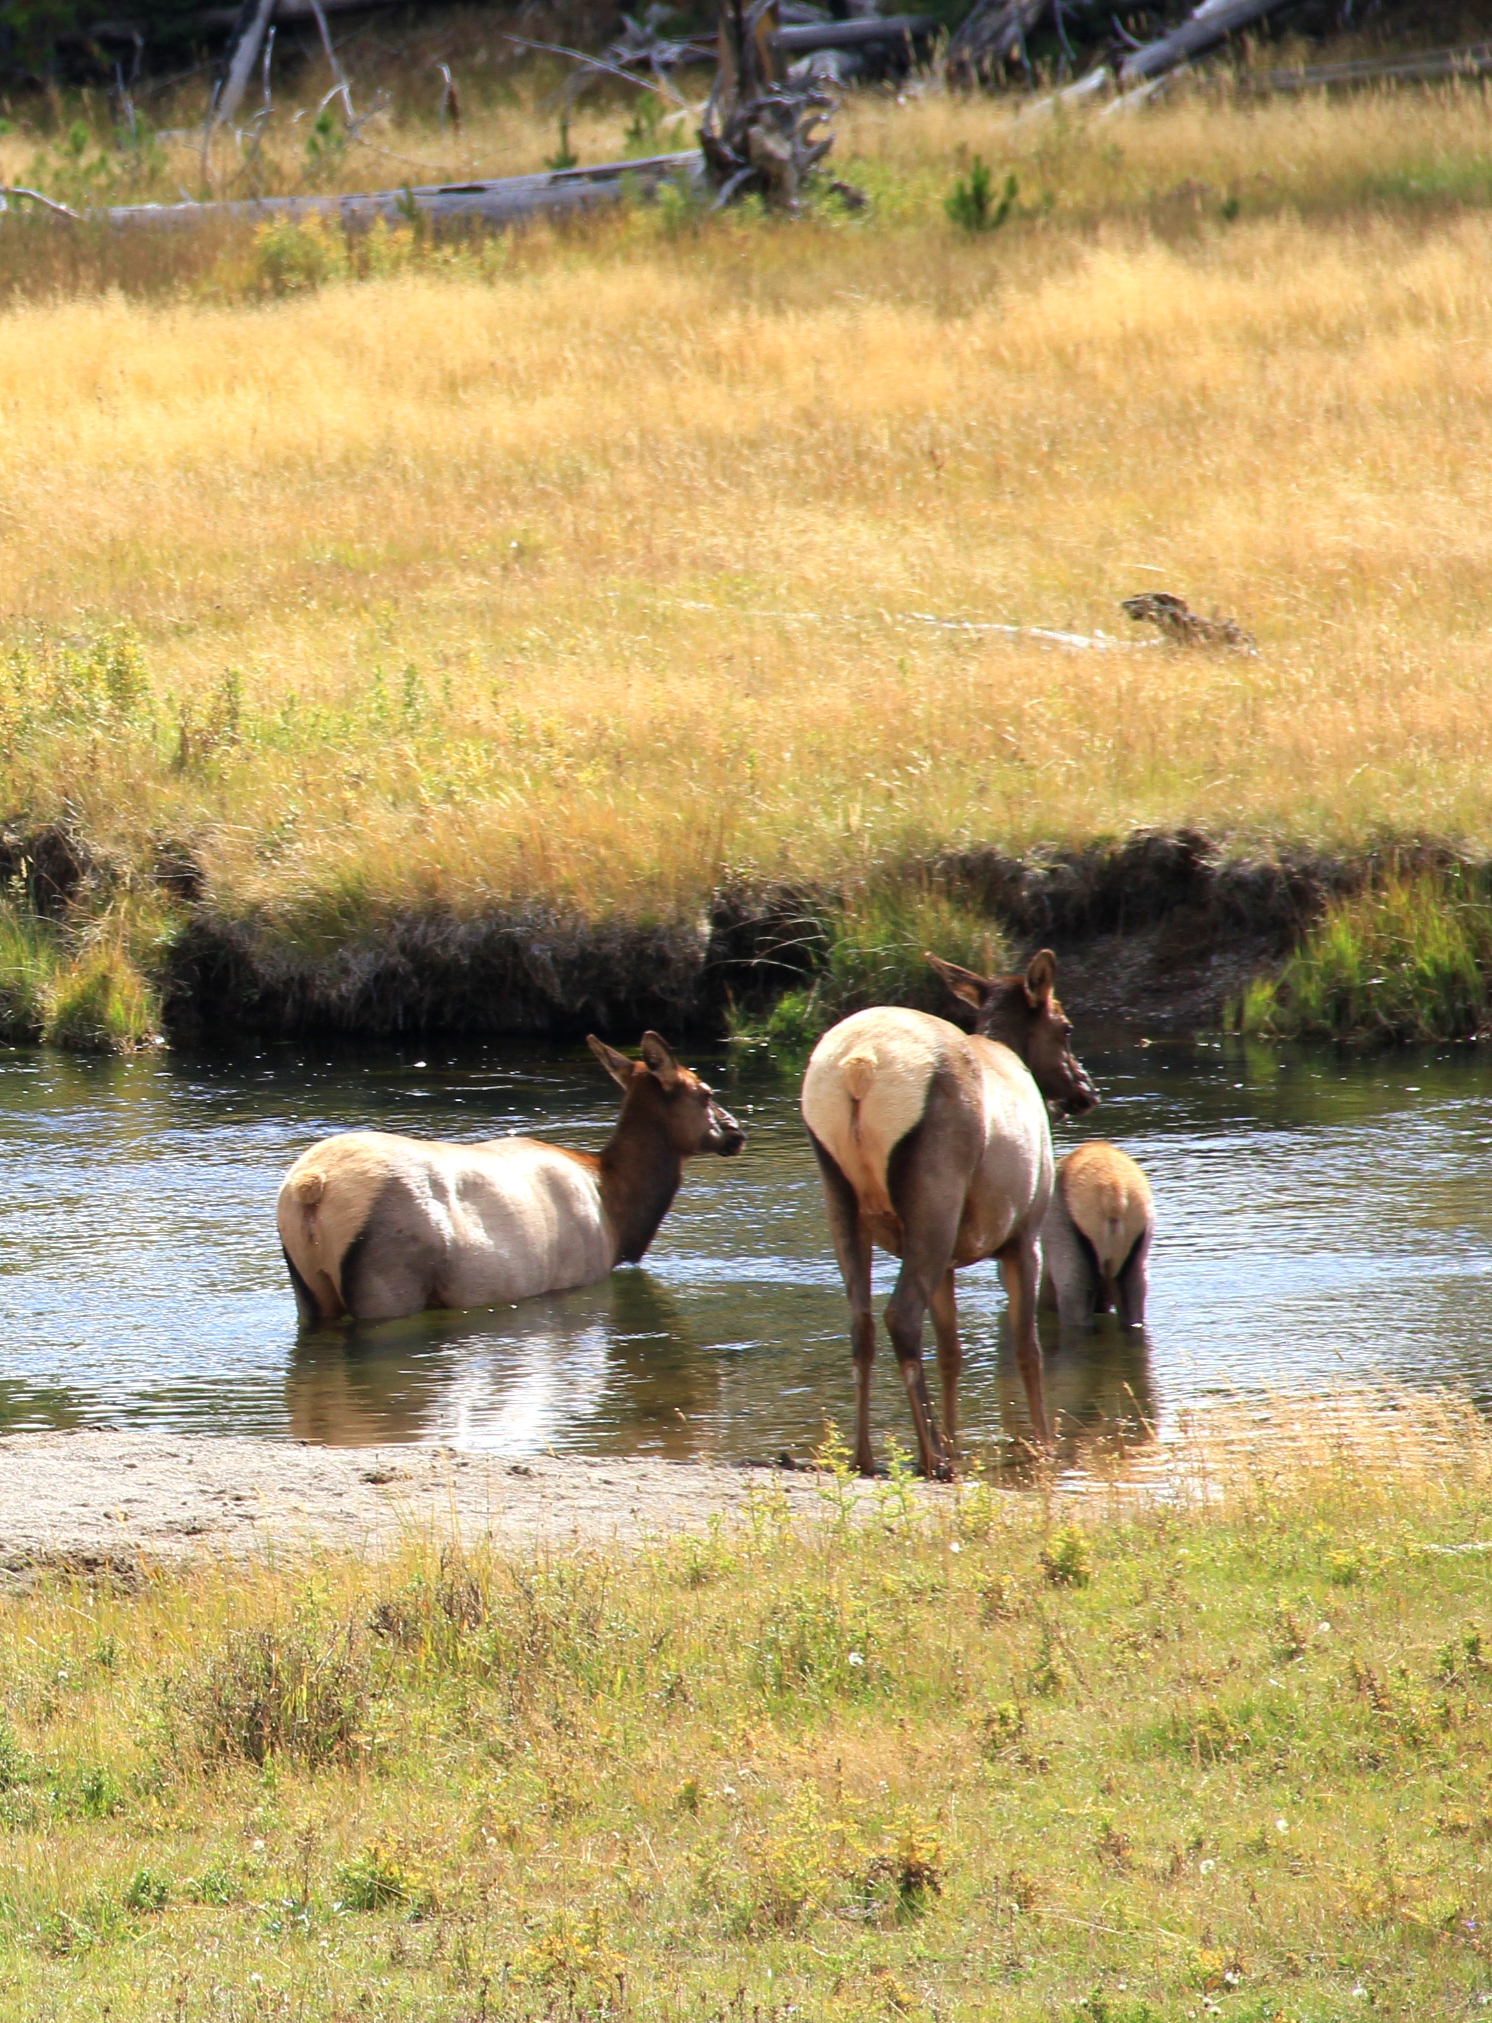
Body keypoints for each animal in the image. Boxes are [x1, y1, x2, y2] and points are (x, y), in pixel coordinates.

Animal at [276, 1043, 739, 1327]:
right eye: (705, 1092)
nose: (735, 1131)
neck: (617, 1213)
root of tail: (312, 1187)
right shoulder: (577, 1276)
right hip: (387, 1282)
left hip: (309, 1290)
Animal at [800, 946, 1091, 1472]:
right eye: (1066, 1027)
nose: (1086, 1088)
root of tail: (860, 1067)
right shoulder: (1024, 1234)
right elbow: (1028, 1348)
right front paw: (1042, 1443)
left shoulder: (953, 1258)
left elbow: (952, 1352)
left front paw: (958, 1441)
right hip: (934, 1195)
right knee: (900, 1317)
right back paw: (931, 1456)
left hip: (841, 1195)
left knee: (862, 1322)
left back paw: (868, 1455)